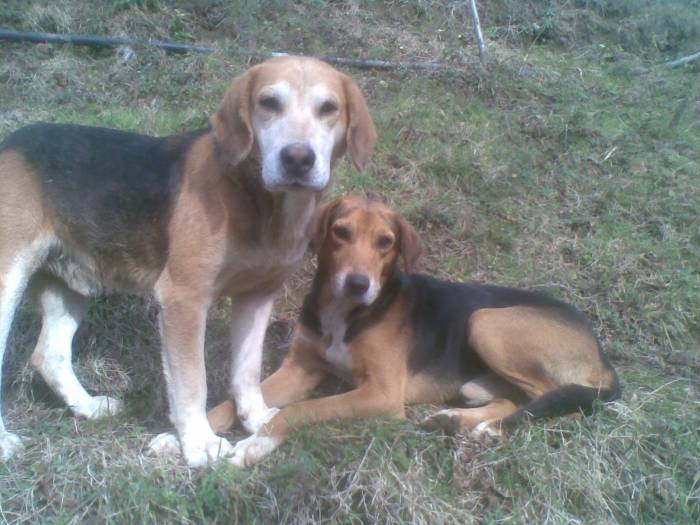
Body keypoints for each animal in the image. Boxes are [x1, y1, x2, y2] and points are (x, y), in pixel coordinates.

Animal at [0, 57, 376, 466]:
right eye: (268, 103)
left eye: (329, 109)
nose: (297, 158)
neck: (258, 200)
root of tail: (10, 142)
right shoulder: (184, 299)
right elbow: (192, 381)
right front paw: (199, 443)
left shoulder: (258, 296)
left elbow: (247, 370)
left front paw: (256, 418)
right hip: (8, 279)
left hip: (68, 284)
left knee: (49, 355)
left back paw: (87, 407)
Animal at [206, 196, 620, 467]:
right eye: (340, 232)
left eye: (385, 242)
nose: (358, 284)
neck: (347, 314)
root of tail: (601, 356)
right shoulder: (301, 368)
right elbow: (230, 401)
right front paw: (193, 435)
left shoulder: (383, 393)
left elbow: (302, 410)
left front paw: (255, 446)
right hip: (481, 362)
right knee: (517, 397)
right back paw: (459, 420)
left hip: (486, 320)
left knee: (558, 400)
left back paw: (496, 429)